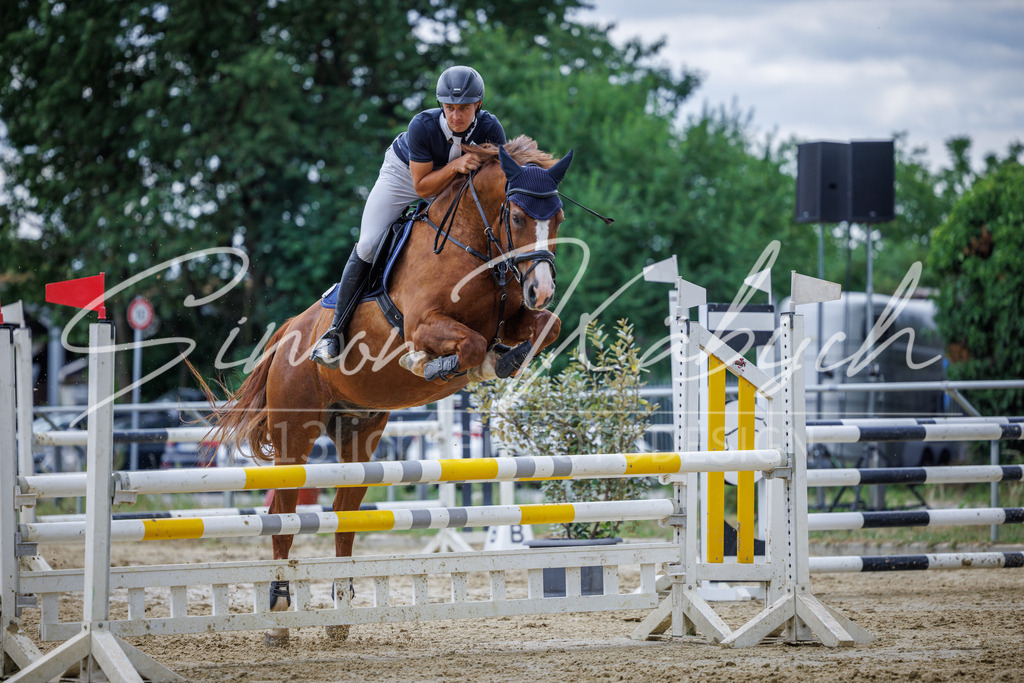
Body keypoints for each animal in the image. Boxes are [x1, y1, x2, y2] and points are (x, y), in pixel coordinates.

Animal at [211, 135, 573, 645]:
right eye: (518, 216)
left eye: (557, 217)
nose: (541, 288)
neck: (474, 246)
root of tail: (287, 334)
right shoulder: (424, 323)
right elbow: (469, 343)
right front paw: (430, 362)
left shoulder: (515, 316)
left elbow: (545, 326)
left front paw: (503, 359)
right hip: (294, 437)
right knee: (284, 518)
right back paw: (278, 615)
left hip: (359, 435)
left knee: (343, 518)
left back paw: (340, 616)